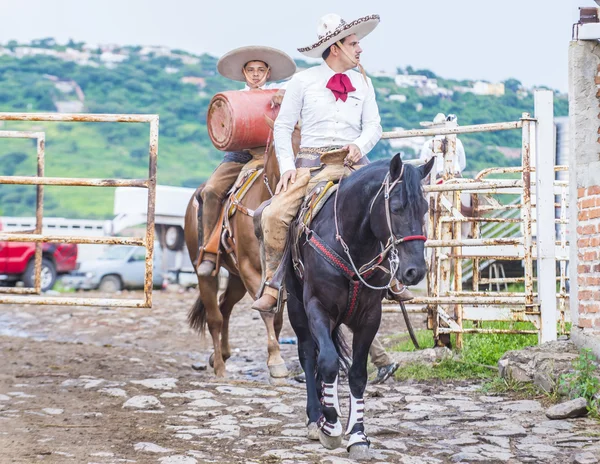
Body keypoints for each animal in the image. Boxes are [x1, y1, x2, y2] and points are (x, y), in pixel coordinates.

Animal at [180, 121, 298, 378]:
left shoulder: (277, 275)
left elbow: (276, 317)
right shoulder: (249, 268)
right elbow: (266, 311)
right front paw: (276, 362)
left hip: (235, 279)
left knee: (225, 307)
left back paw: (221, 355)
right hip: (206, 273)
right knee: (214, 316)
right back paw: (220, 367)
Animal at [284, 154, 432, 458]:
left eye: (424, 208)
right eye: (396, 208)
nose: (415, 271)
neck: (351, 243)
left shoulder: (369, 318)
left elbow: (358, 375)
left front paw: (358, 435)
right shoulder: (317, 308)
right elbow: (328, 362)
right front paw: (330, 427)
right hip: (296, 308)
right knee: (309, 354)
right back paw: (316, 417)